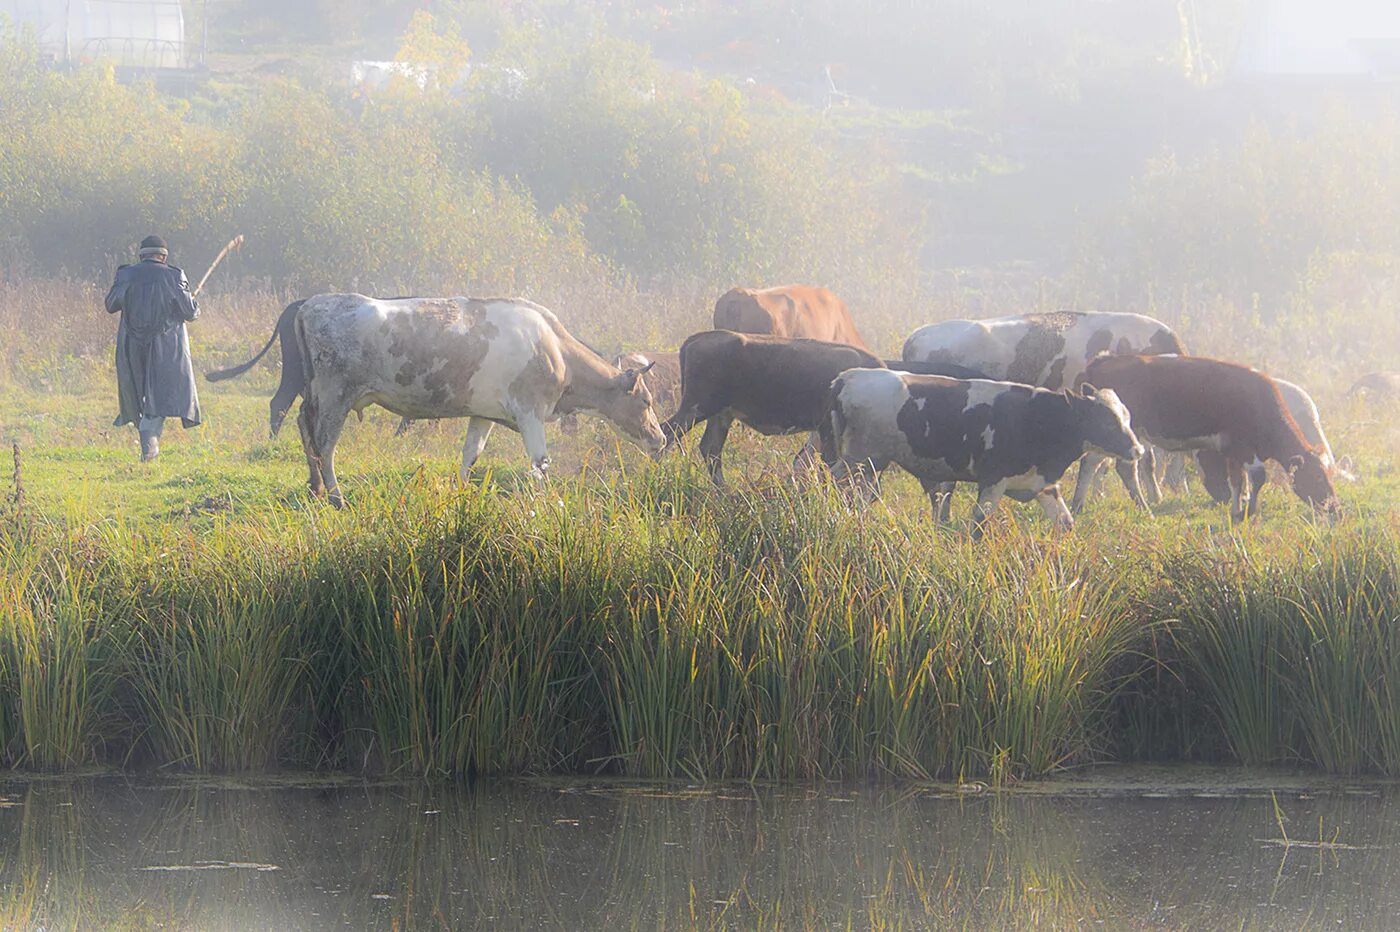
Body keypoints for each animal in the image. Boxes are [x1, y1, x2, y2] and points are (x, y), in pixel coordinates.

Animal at [1080, 352, 1332, 517]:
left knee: (1102, 464)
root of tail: (1105, 359)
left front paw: (1237, 509)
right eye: (1318, 477)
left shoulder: (1232, 451)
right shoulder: (1243, 446)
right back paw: (1139, 506)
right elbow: (1257, 477)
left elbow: (1237, 480)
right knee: (1113, 466)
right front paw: (1248, 511)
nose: (1335, 509)